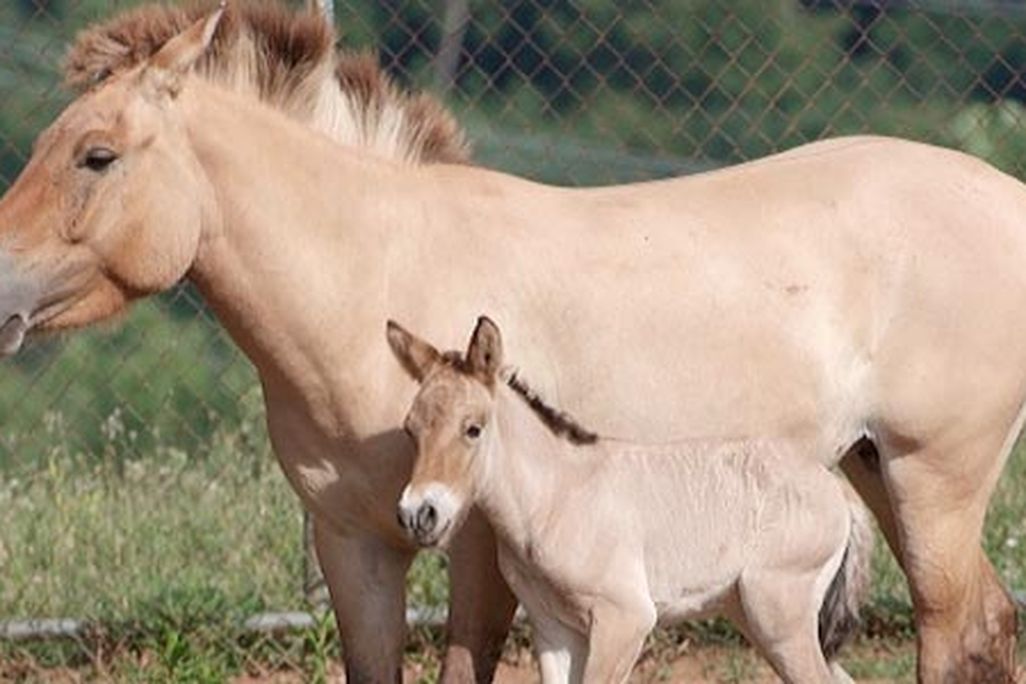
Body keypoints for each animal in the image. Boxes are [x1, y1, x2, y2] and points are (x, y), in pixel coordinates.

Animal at [389, 316, 873, 684]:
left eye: (473, 428)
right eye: (410, 430)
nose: (419, 514)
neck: (554, 498)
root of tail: (835, 490)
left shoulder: (624, 620)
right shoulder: (553, 629)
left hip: (778, 616)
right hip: (754, 616)